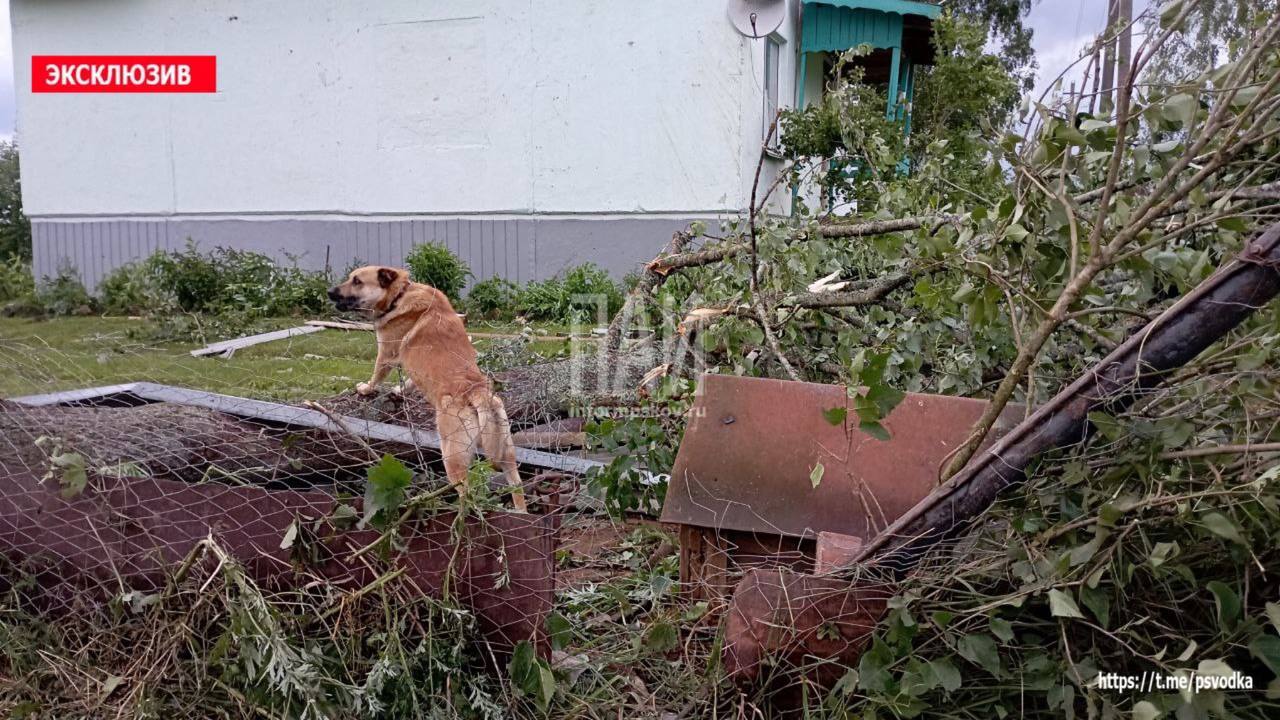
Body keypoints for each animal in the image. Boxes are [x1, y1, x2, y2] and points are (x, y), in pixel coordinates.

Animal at [335, 265, 529, 509]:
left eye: (357, 281)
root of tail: (476, 391)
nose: (331, 292)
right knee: (516, 487)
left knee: (468, 496)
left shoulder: (387, 354)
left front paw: (366, 389)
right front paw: (399, 391)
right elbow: (409, 381)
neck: (400, 295)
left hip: (452, 457)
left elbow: (377, 375)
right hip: (505, 451)